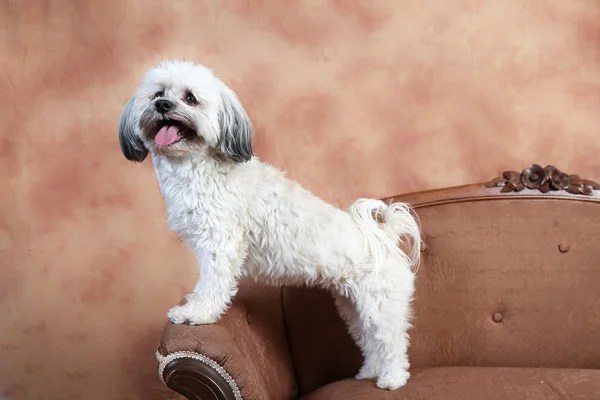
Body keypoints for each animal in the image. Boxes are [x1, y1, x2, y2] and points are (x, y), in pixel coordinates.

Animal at [117, 60, 422, 390]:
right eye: (158, 94)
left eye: (190, 98)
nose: (162, 105)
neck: (197, 166)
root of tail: (383, 238)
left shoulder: (220, 243)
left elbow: (212, 283)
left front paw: (196, 313)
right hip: (353, 307)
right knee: (370, 342)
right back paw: (369, 371)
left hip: (381, 306)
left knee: (392, 342)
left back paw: (392, 378)